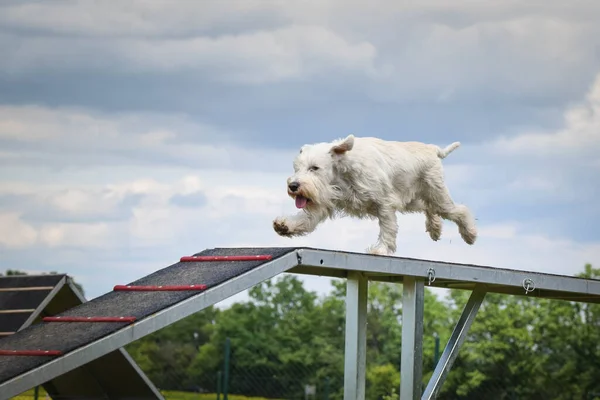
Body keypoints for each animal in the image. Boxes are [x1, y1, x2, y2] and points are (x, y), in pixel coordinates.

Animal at [274, 134, 478, 256]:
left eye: (314, 168)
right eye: (297, 168)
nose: (293, 186)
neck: (343, 172)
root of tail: (434, 150)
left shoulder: (385, 204)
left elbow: (388, 228)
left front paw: (380, 249)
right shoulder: (323, 203)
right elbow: (305, 219)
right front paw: (285, 226)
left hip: (437, 196)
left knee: (459, 210)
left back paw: (470, 234)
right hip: (415, 199)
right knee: (428, 208)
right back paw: (435, 228)